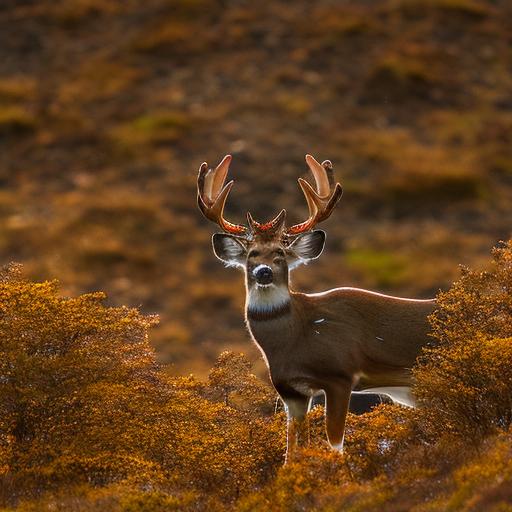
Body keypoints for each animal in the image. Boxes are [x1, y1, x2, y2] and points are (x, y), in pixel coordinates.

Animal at [197, 152, 436, 460]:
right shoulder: (291, 391)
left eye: (280, 253)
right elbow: (292, 453)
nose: (263, 272)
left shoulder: (340, 375)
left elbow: (335, 446)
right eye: (252, 254)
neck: (296, 337)